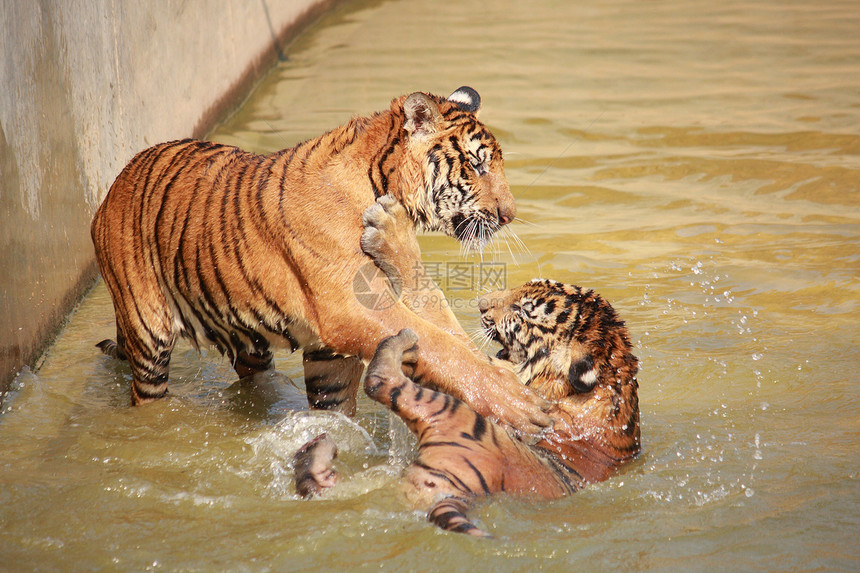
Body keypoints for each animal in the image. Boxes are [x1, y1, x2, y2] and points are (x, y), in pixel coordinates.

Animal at [90, 87, 548, 432]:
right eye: (477, 166)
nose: (509, 214)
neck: (381, 183)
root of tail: (116, 182)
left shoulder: (333, 346)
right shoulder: (353, 309)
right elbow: (444, 346)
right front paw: (517, 401)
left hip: (249, 336)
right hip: (148, 333)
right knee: (146, 393)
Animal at [296, 198, 640, 536]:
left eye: (522, 312)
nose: (482, 304)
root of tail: (454, 494)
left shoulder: (502, 383)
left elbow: (441, 318)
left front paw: (390, 228)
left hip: (465, 423)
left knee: (386, 383)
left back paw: (393, 349)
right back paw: (317, 453)